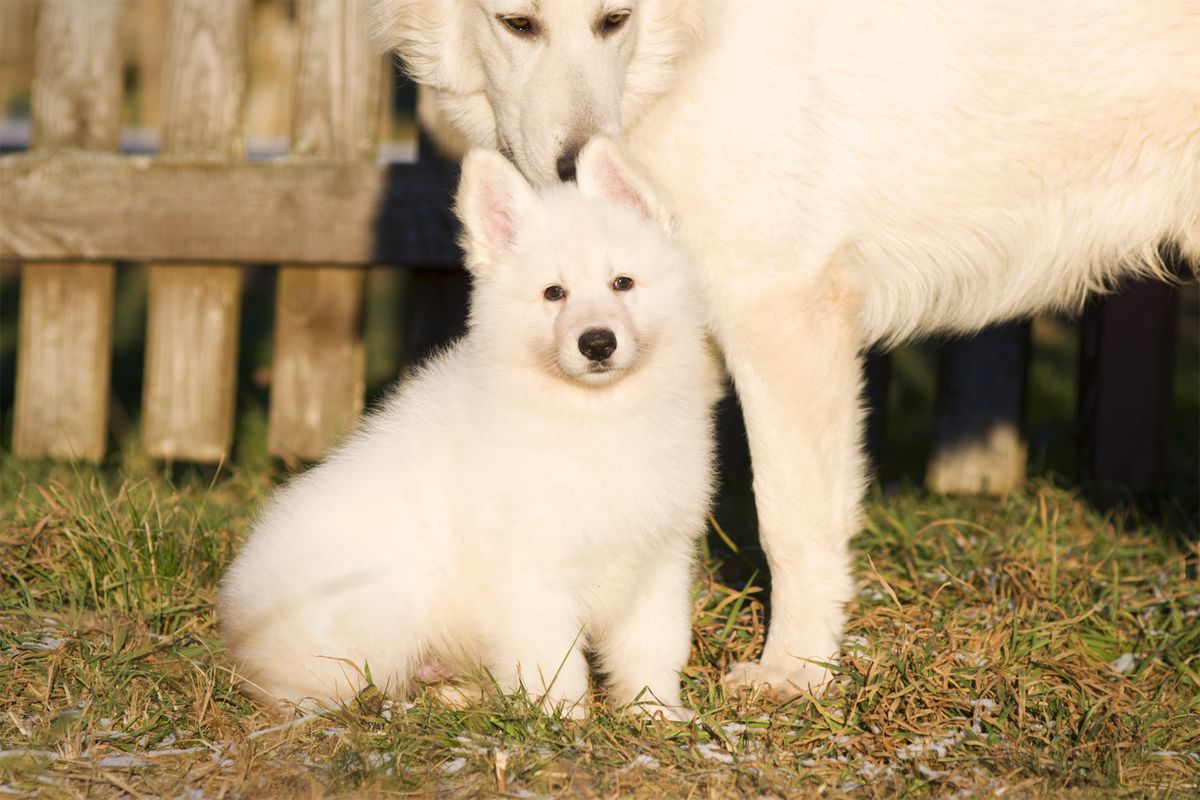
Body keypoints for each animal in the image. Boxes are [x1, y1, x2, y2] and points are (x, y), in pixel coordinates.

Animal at [218, 137, 720, 719]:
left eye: (623, 283)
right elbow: (552, 659)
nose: (597, 343)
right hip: (378, 608)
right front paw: (562, 722)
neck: (597, 414)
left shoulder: (659, 559)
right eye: (554, 293)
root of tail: (239, 619)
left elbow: (653, 647)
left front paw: (656, 713)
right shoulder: (532, 572)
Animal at [374, 0, 1200, 695]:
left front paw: (795, 674)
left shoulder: (779, 314)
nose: (577, 163)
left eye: (614, 20)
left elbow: (791, 520)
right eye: (518, 24)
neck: (684, 52)